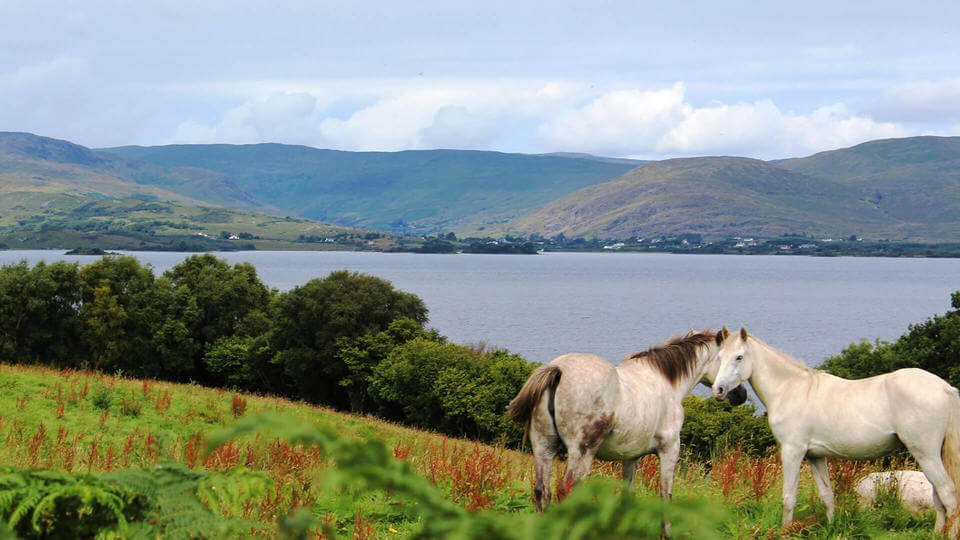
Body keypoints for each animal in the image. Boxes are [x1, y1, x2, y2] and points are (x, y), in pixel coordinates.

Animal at [506, 332, 748, 512]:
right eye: (731, 358)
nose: (741, 394)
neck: (666, 382)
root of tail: (558, 369)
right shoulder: (670, 450)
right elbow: (666, 496)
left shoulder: (630, 457)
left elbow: (627, 496)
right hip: (581, 452)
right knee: (566, 490)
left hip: (543, 446)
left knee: (541, 492)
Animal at [708, 326, 960, 532]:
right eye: (719, 357)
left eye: (739, 357)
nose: (718, 391)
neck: (790, 388)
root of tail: (945, 388)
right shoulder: (815, 456)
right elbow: (827, 496)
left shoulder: (792, 452)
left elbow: (788, 497)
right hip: (933, 455)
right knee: (940, 499)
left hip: (925, 454)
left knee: (949, 496)